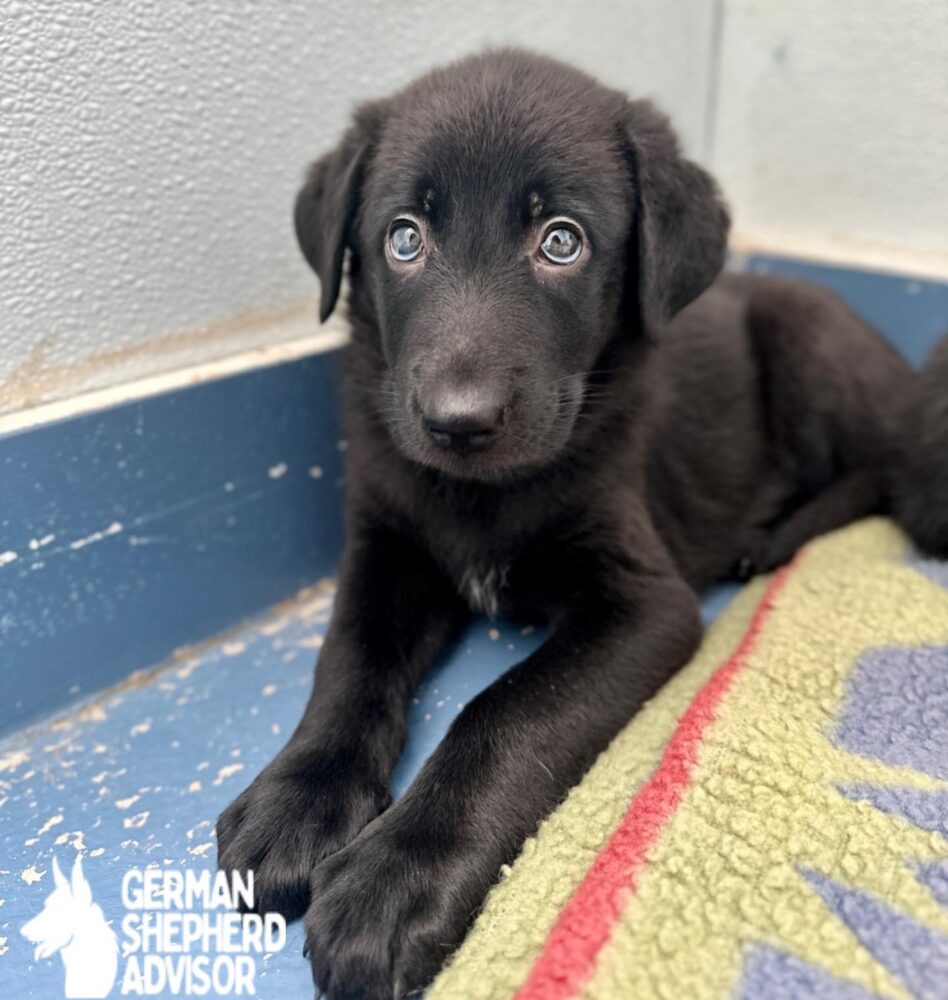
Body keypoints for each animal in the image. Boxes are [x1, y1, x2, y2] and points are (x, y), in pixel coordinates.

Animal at [218, 50, 916, 996]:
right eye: (404, 237)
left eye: (561, 241)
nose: (457, 421)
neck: (479, 495)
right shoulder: (387, 544)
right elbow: (349, 659)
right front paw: (299, 800)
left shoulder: (643, 601)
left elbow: (506, 713)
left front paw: (395, 880)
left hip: (810, 343)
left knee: (886, 473)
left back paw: (768, 539)